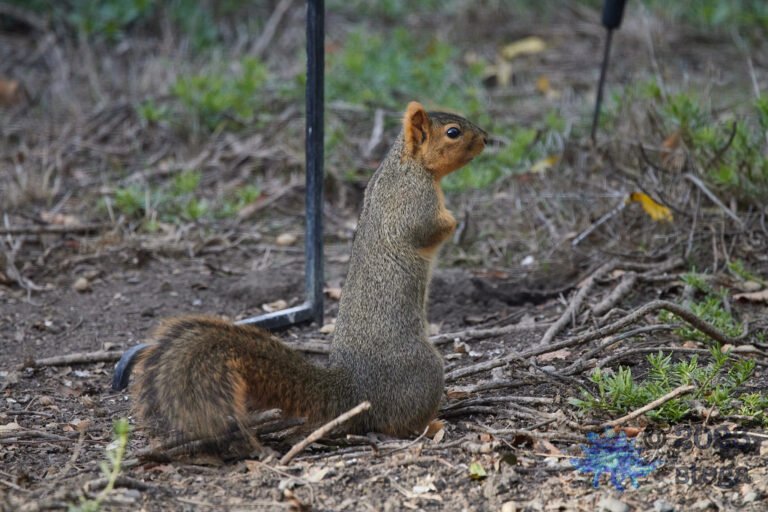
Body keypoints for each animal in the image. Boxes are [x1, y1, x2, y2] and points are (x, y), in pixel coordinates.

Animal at [112, 101, 487, 445]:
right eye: (453, 132)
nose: (487, 138)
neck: (407, 164)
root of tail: (353, 392)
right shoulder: (412, 202)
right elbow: (428, 229)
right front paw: (454, 221)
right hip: (424, 370)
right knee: (396, 423)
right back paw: (432, 425)